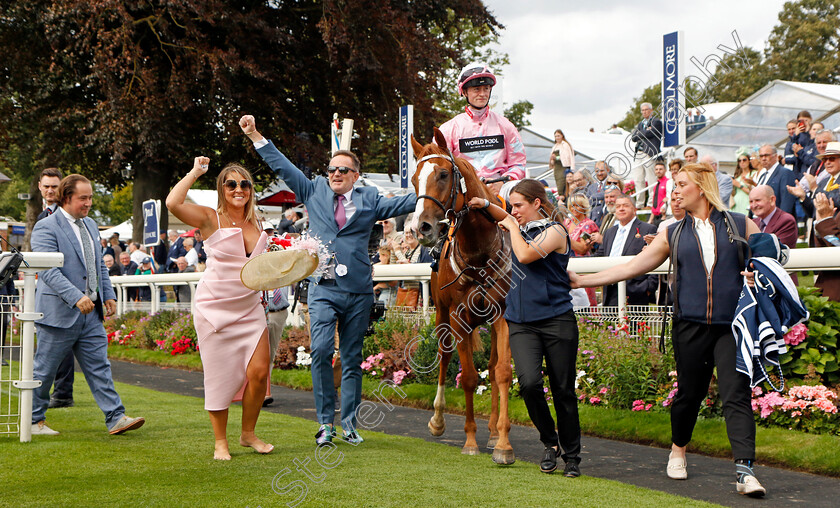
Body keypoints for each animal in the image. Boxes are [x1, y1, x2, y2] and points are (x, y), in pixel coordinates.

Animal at [406, 128, 516, 464]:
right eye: (413, 179)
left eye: (443, 174)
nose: (422, 228)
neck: (479, 252)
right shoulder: (458, 316)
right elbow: (467, 376)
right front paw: (469, 440)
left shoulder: (502, 314)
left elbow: (501, 372)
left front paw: (502, 443)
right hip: (442, 315)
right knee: (444, 357)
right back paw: (438, 420)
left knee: (491, 366)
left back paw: (492, 431)